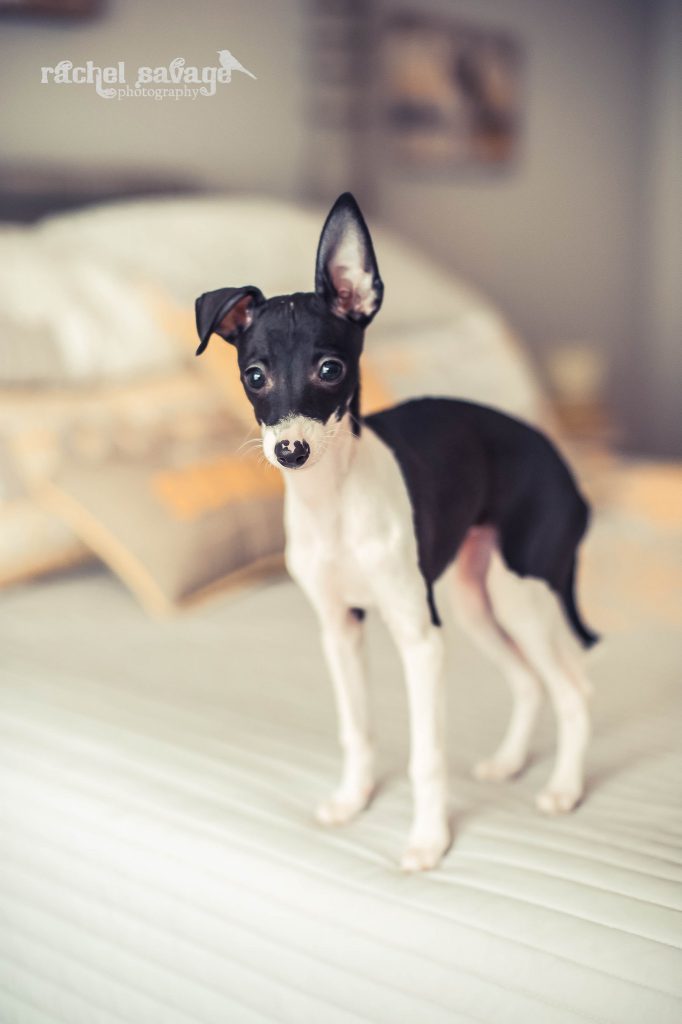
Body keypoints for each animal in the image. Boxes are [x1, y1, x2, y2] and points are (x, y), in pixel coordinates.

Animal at [193, 193, 593, 872]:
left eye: (330, 368)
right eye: (254, 375)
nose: (291, 451)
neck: (334, 502)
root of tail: (561, 463)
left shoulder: (420, 639)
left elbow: (426, 755)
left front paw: (429, 841)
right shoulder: (340, 629)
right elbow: (358, 729)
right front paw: (352, 801)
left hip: (519, 594)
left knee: (573, 688)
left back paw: (564, 788)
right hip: (472, 599)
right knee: (529, 682)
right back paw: (511, 763)